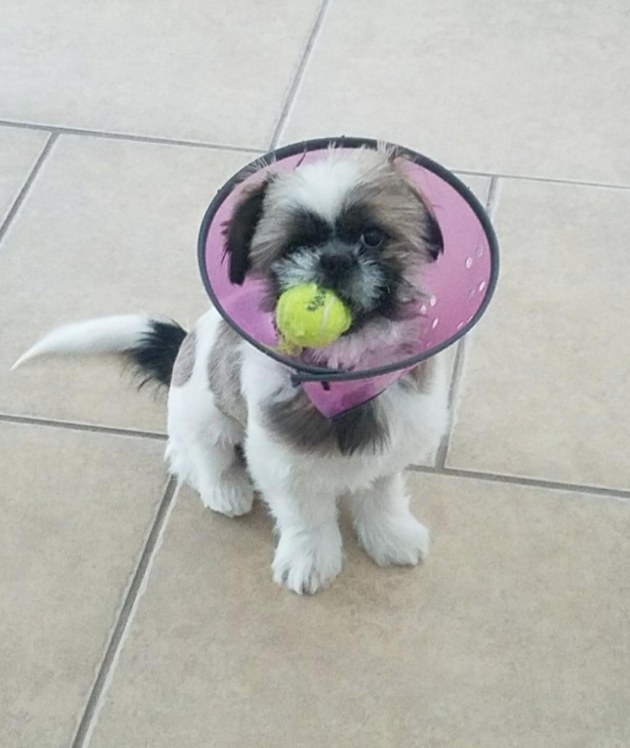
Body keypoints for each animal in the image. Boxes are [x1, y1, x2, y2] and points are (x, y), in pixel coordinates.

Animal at [13, 146, 450, 596]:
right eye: (295, 246)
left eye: (373, 237)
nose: (334, 259)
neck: (346, 376)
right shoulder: (281, 462)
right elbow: (305, 514)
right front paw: (310, 558)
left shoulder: (395, 446)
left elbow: (381, 494)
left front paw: (391, 536)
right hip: (204, 417)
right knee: (196, 456)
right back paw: (224, 489)